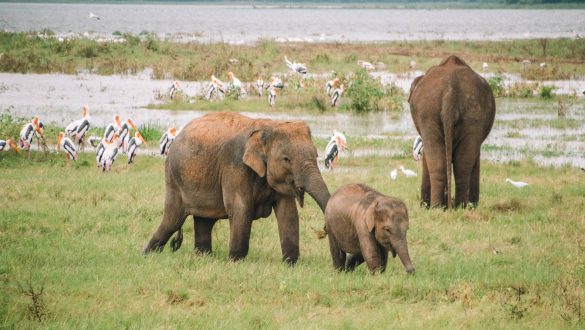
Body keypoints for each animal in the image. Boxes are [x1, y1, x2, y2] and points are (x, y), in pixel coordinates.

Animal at [143, 112, 328, 264]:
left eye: (316, 154)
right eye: (286, 159)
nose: (324, 230)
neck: (267, 126)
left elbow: (288, 213)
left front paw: (290, 263)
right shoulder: (235, 166)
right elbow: (241, 208)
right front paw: (235, 261)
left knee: (203, 222)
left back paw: (203, 256)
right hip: (173, 179)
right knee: (172, 220)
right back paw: (147, 255)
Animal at [408, 55, 496, 208]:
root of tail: (450, 93)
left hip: (437, 113)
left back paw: (445, 207)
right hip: (467, 114)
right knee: (460, 163)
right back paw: (454, 207)